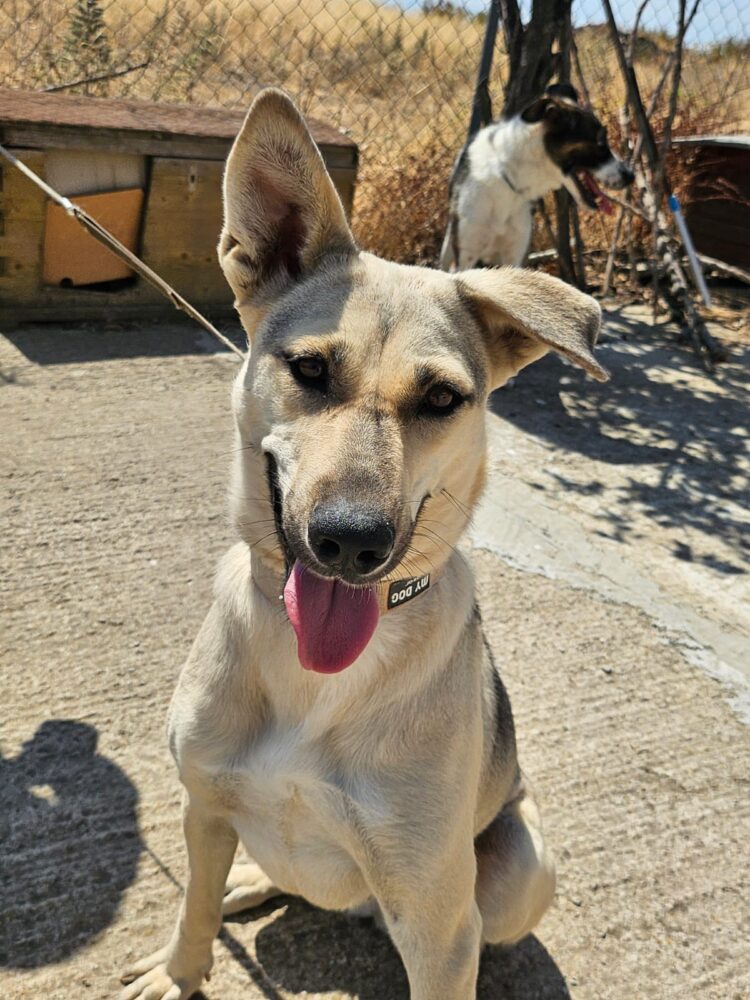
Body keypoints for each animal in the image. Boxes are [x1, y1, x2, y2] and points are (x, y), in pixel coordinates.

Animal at [119, 89, 609, 1000]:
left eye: (444, 398)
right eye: (310, 370)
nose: (351, 544)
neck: (309, 678)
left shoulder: (439, 927)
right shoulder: (202, 807)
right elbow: (193, 902)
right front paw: (180, 970)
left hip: (525, 866)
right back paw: (250, 884)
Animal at [440, 84, 634, 271]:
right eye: (601, 143)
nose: (631, 176)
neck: (511, 179)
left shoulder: (514, 255)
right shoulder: (465, 257)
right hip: (449, 247)